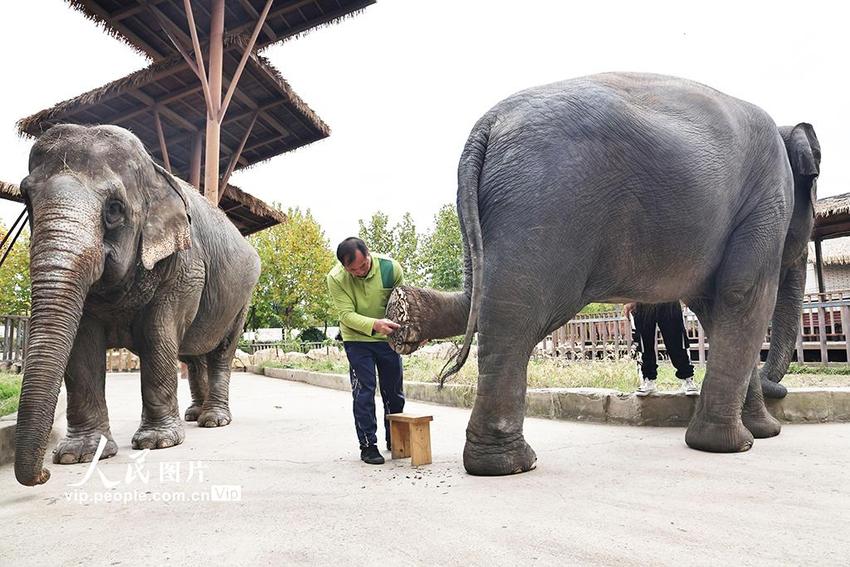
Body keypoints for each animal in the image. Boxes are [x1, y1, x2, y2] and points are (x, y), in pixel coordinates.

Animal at [12, 125, 258, 488]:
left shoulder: (184, 264)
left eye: (114, 209)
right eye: (27, 200)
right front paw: (78, 456)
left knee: (220, 353)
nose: (44, 474)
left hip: (242, 298)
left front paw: (158, 443)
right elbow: (82, 344)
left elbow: (158, 333)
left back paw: (214, 420)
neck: (154, 170)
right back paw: (193, 415)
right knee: (193, 355)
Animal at [388, 73, 820, 478]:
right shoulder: (767, 202)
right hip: (547, 202)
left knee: (479, 295)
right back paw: (510, 464)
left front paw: (762, 432)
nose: (779, 389)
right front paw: (737, 444)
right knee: (515, 315)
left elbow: (717, 309)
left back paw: (402, 313)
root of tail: (488, 124)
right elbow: (744, 297)